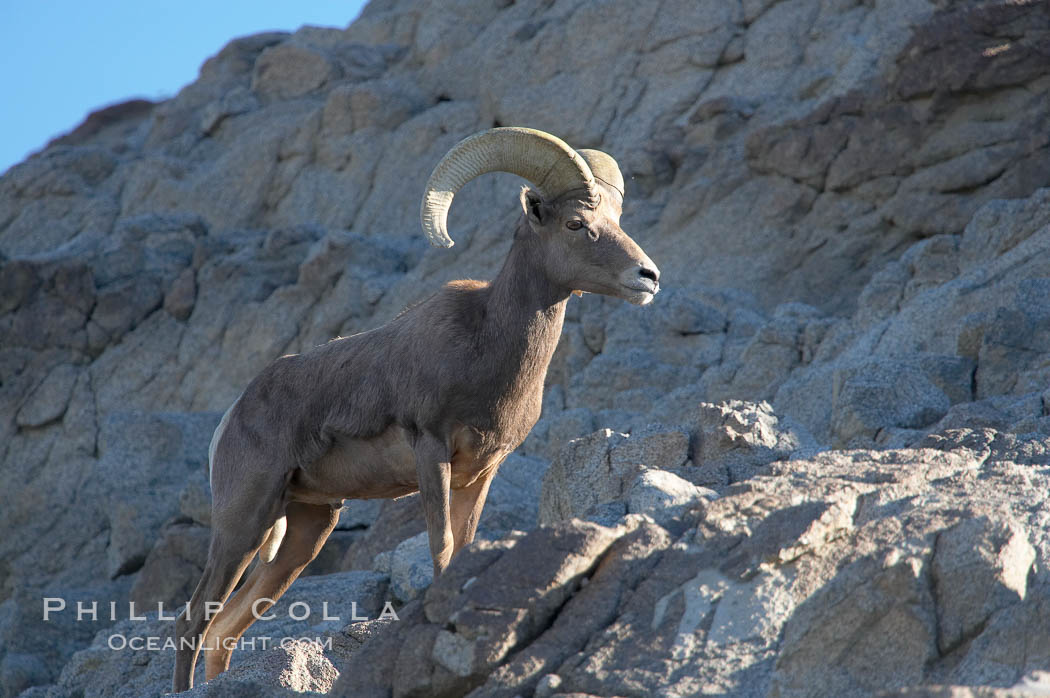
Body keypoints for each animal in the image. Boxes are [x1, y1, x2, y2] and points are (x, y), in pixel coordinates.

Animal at [175, 128, 659, 688]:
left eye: (617, 221)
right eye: (576, 224)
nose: (648, 277)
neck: (485, 345)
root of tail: (233, 415)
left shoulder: (481, 473)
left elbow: (464, 549)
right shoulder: (432, 452)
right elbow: (442, 547)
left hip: (307, 529)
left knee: (225, 627)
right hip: (245, 521)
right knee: (195, 619)